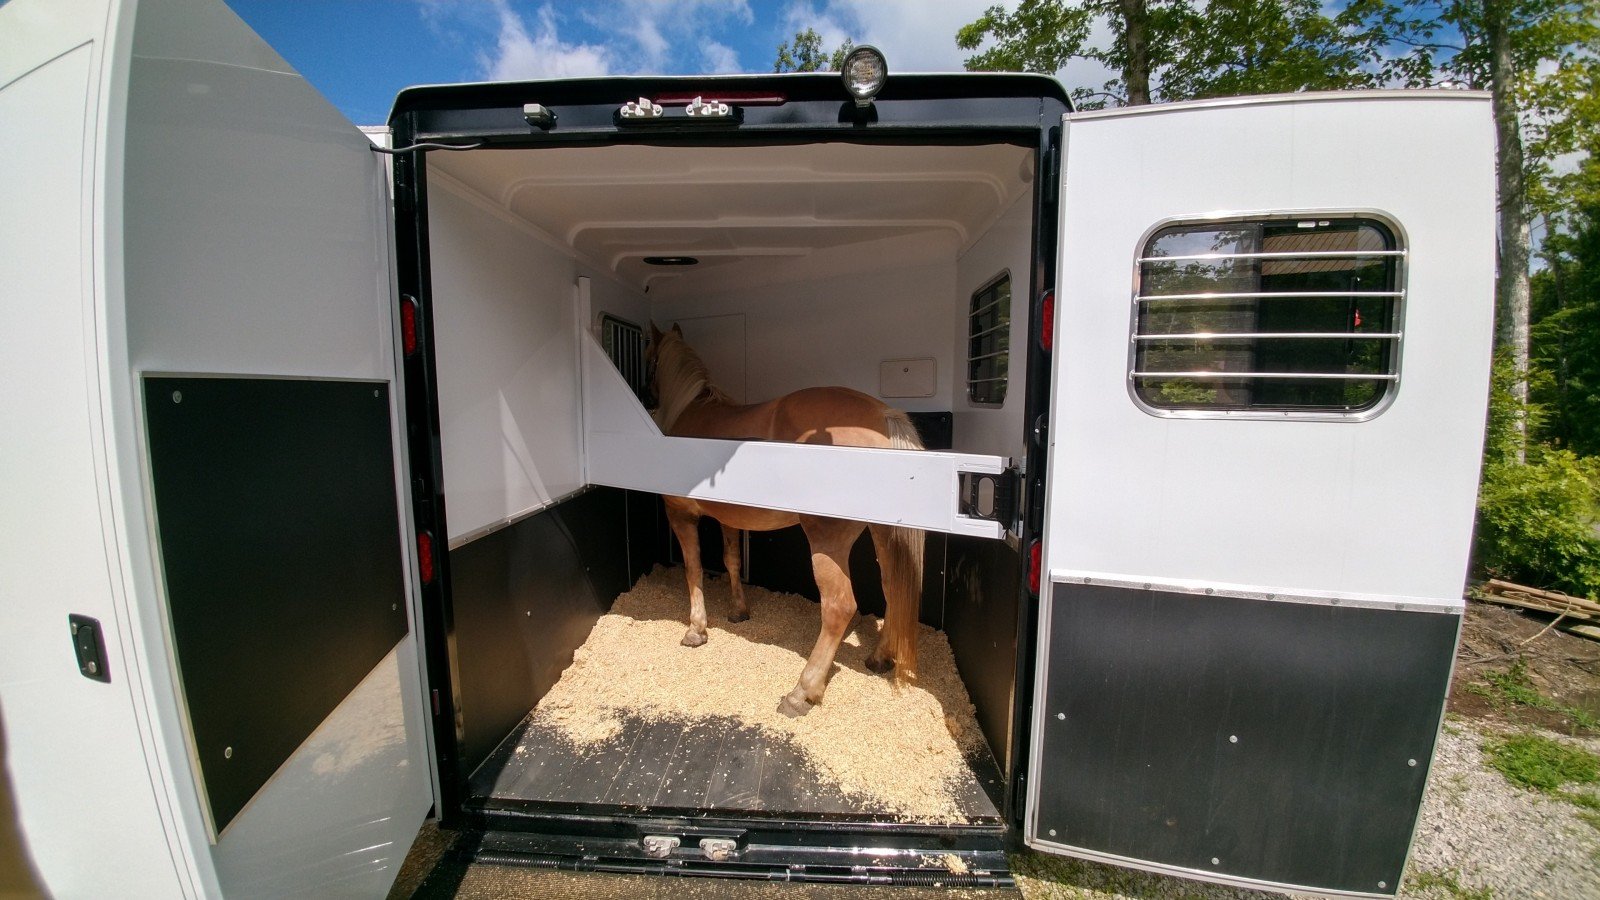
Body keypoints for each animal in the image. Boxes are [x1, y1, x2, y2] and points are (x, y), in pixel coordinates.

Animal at [646, 321, 928, 714]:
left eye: (648, 358)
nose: (648, 395)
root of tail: (882, 416)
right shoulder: (729, 519)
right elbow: (731, 561)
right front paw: (738, 611)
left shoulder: (681, 514)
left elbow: (694, 569)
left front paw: (696, 630)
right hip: (883, 534)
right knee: (891, 588)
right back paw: (878, 658)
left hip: (827, 540)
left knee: (839, 606)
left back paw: (801, 692)